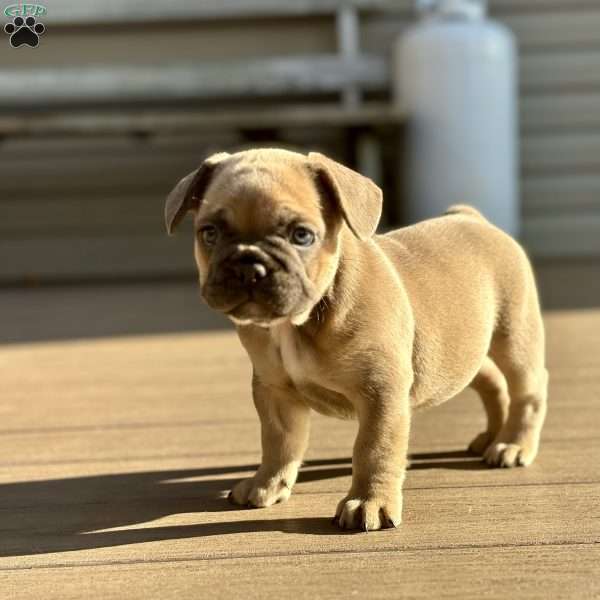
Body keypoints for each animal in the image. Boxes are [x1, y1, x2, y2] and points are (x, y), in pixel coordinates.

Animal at [164, 148, 548, 532]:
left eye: (302, 236)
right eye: (209, 233)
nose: (248, 266)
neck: (299, 322)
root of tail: (470, 217)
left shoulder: (381, 392)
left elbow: (373, 448)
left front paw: (368, 502)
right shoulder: (275, 390)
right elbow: (278, 440)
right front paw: (268, 483)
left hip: (514, 336)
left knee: (527, 388)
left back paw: (512, 443)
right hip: (463, 353)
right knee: (491, 380)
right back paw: (492, 436)